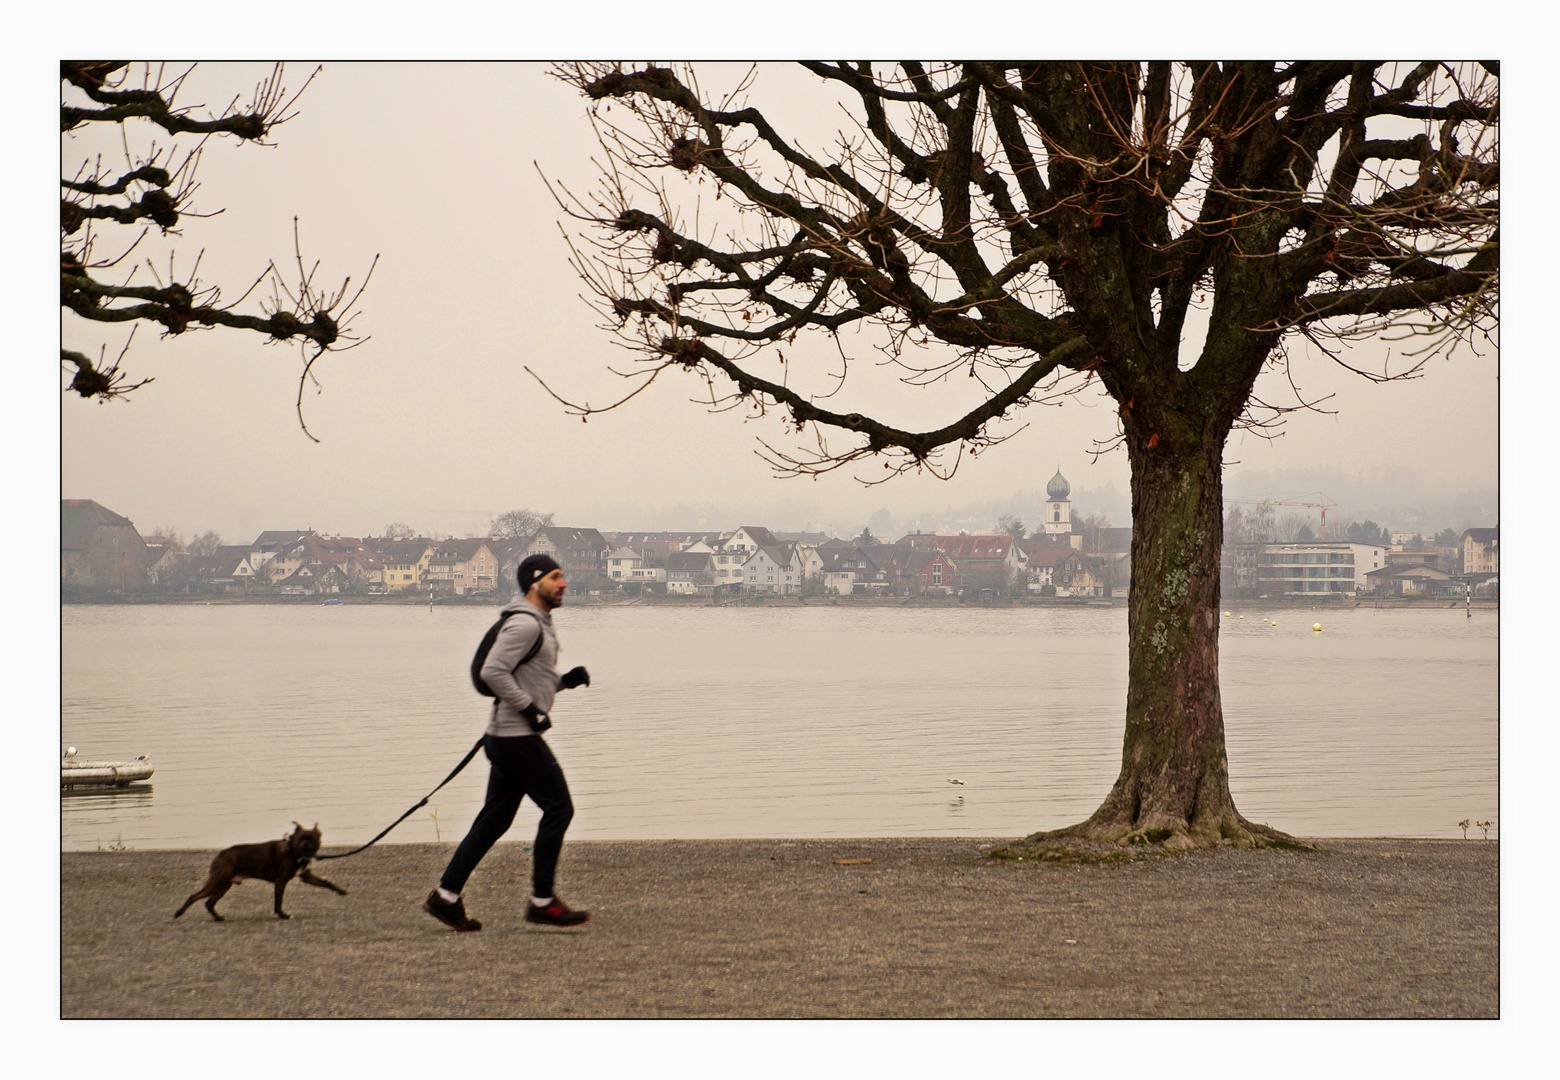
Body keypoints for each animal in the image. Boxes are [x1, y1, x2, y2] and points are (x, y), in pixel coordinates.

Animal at [177, 824, 347, 917]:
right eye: (300, 838)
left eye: (313, 839)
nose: (306, 843)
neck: (294, 851)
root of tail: (222, 853)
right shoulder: (281, 881)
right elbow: (278, 900)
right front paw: (283, 915)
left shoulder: (307, 876)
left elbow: (326, 883)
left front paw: (340, 890)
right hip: (218, 882)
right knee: (195, 896)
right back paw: (179, 913)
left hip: (224, 885)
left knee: (209, 902)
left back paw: (218, 918)